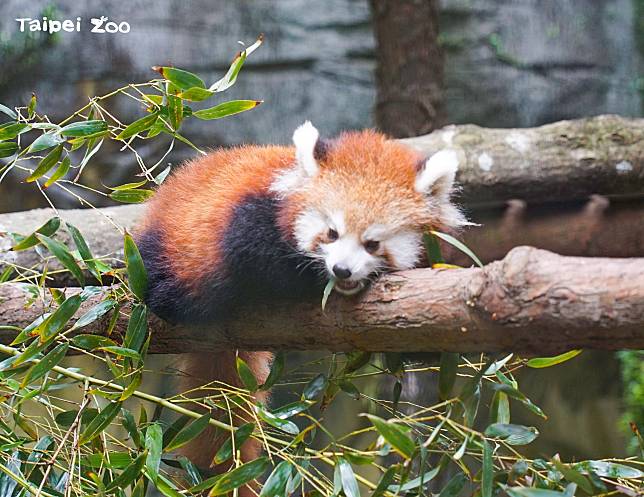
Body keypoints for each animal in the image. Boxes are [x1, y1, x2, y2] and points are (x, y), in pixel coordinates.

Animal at [137, 122, 468, 470]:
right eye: (332, 233)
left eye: (372, 243)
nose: (342, 270)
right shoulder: (251, 218)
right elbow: (261, 259)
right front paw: (312, 279)